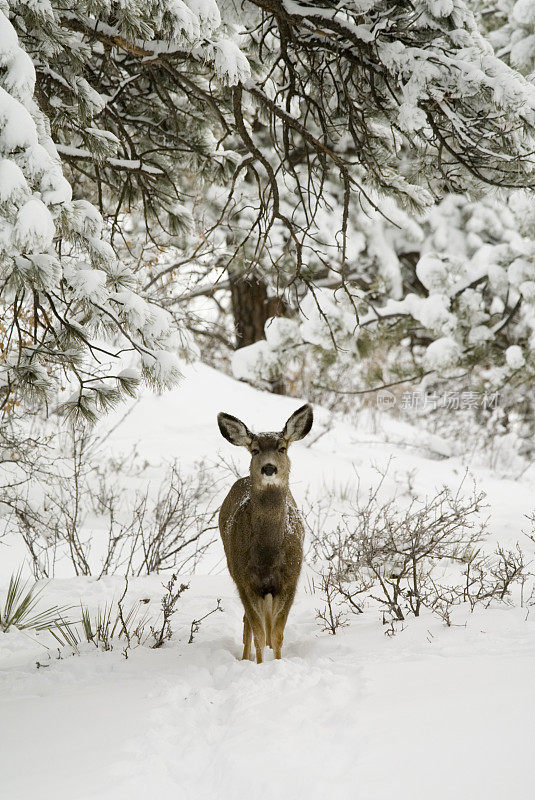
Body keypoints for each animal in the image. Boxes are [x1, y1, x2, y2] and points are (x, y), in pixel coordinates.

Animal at [217, 406, 314, 664]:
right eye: (255, 450)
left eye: (282, 448)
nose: (269, 468)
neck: (268, 554)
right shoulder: (244, 580)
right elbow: (258, 633)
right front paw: (260, 665)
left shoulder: (290, 578)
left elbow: (277, 633)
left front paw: (278, 663)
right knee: (248, 626)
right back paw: (245, 657)